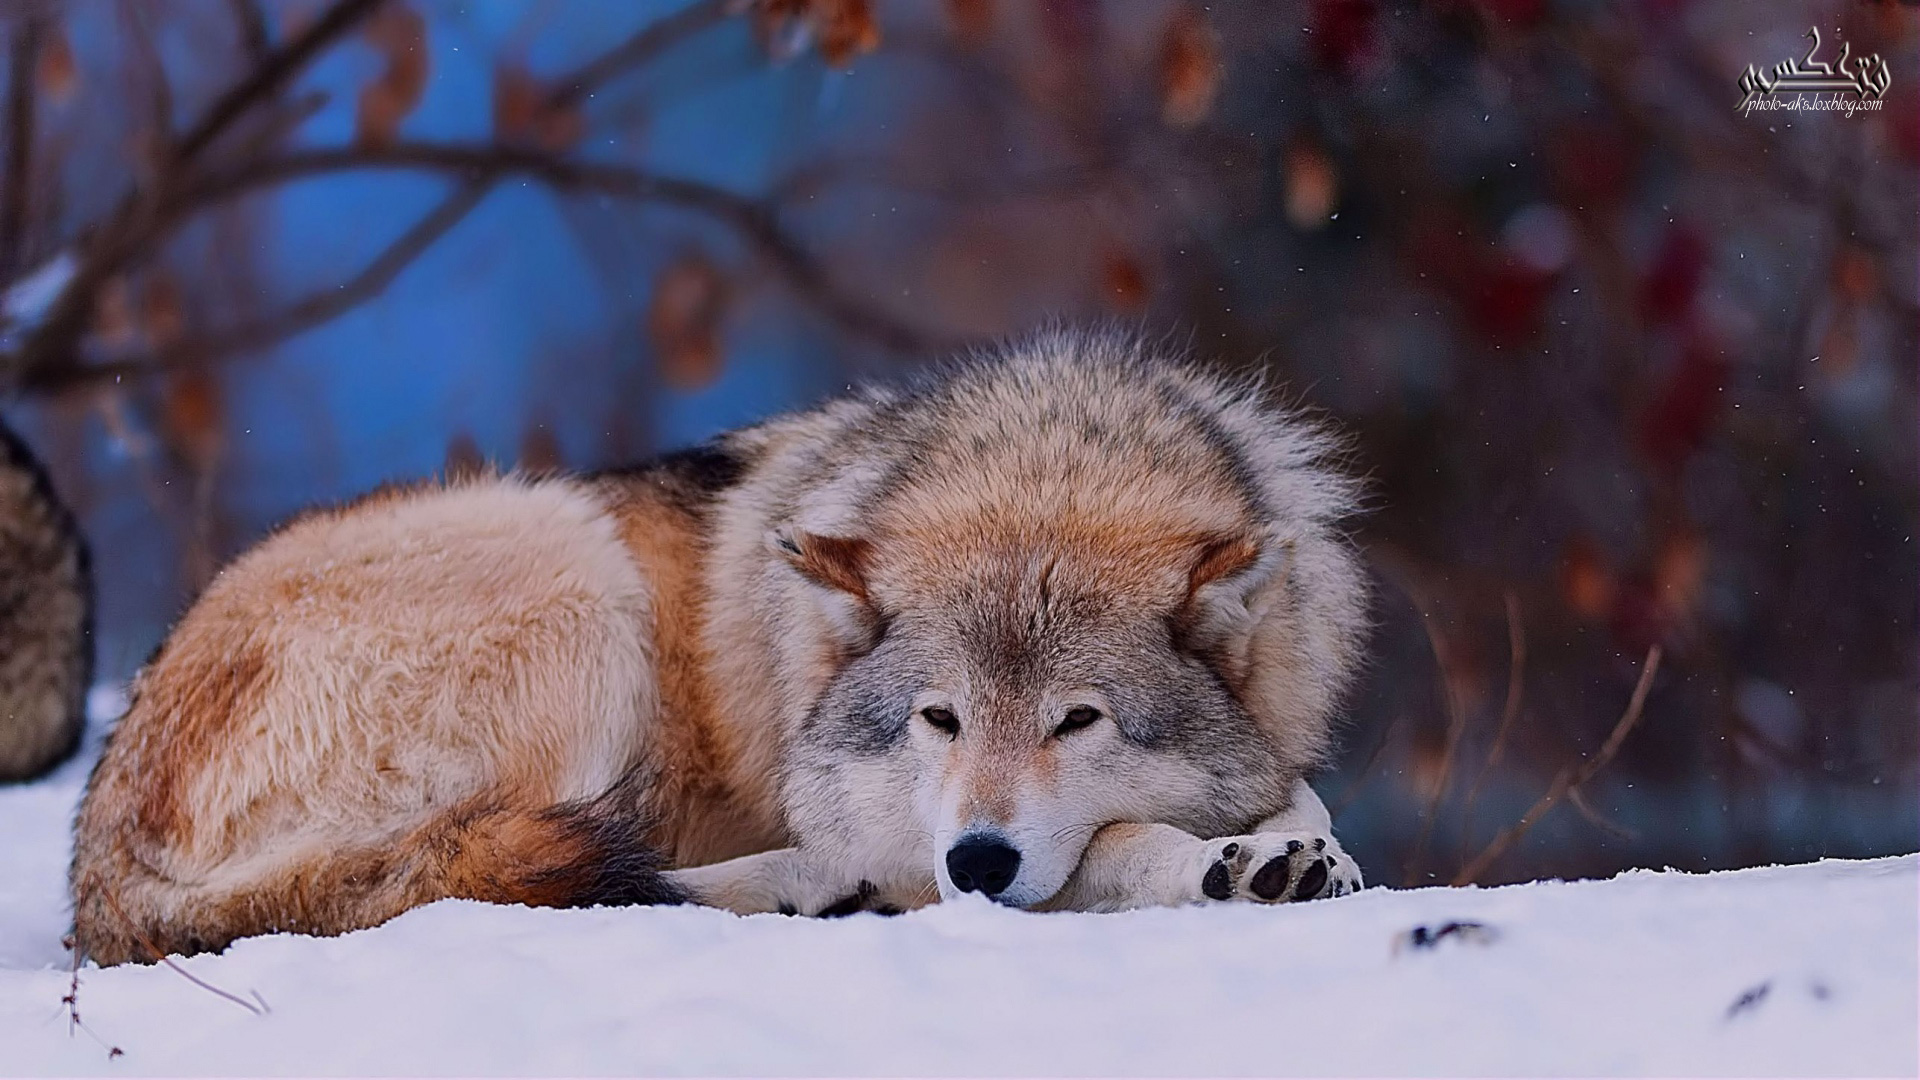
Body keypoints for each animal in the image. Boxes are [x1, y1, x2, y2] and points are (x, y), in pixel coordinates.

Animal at [71, 328, 1367, 957]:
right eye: (938, 719)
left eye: (1078, 720)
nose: (979, 860)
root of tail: (97, 854)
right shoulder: (915, 833)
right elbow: (1111, 847)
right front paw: (1221, 865)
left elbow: (1297, 792)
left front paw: (1296, 851)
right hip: (576, 578)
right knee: (517, 883)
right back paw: (820, 890)